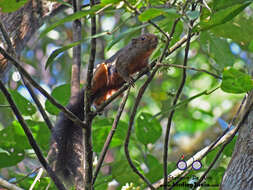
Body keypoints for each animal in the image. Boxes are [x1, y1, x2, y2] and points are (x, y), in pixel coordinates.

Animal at [49, 33, 158, 186]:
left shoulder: (142, 62)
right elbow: (121, 69)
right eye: (143, 38)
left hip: (111, 89)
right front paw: (129, 79)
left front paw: (149, 71)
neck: (140, 55)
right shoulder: (122, 60)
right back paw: (91, 93)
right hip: (100, 73)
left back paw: (99, 105)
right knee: (98, 81)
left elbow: (145, 67)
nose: (157, 38)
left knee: (100, 97)